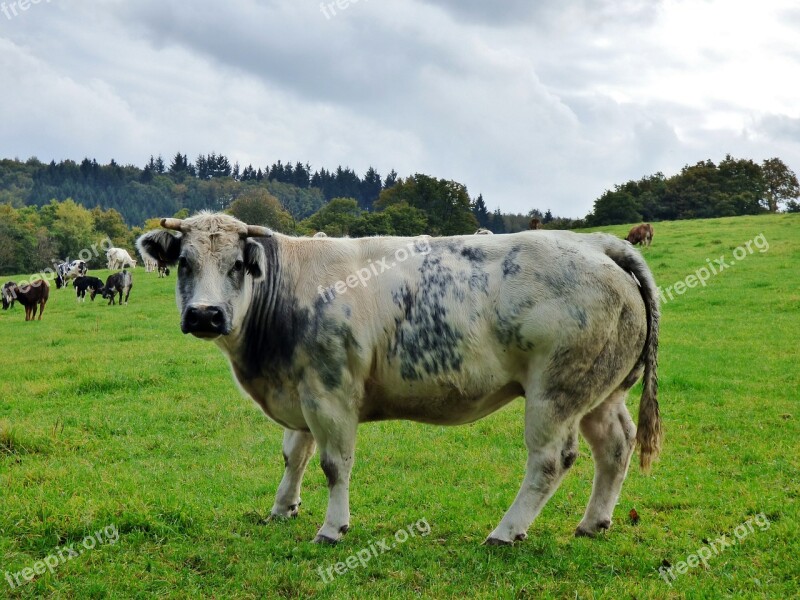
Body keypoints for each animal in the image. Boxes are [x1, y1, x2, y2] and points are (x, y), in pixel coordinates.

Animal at [138, 213, 664, 548]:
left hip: (555, 392)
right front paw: (282, 508)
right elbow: (294, 454)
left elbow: (334, 464)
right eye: (184, 263)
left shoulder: (330, 392)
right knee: (616, 445)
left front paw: (332, 528)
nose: (205, 314)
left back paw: (505, 532)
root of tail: (598, 244)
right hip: (602, 391)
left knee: (551, 460)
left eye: (237, 265)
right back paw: (593, 522)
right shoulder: (301, 387)